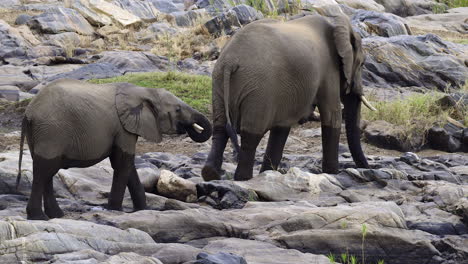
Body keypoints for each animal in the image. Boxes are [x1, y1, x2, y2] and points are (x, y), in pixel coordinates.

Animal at [16, 79, 210, 221]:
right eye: (177, 109)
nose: (192, 127)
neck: (145, 91)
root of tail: (28, 113)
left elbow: (128, 165)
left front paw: (142, 209)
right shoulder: (123, 127)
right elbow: (122, 163)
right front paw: (115, 209)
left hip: (42, 134)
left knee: (46, 170)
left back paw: (56, 216)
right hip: (51, 132)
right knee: (44, 171)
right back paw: (39, 217)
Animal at [202, 14, 376, 182]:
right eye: (362, 64)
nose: (367, 169)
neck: (337, 26)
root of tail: (230, 62)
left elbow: (281, 128)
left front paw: (268, 172)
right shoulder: (329, 70)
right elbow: (332, 117)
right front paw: (333, 173)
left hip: (218, 82)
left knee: (220, 129)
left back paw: (210, 174)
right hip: (258, 89)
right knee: (251, 134)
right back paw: (243, 178)